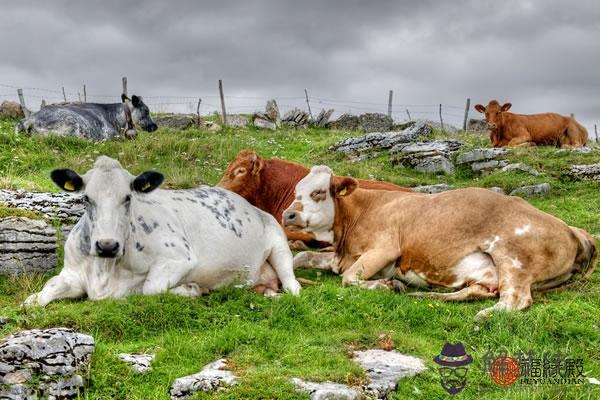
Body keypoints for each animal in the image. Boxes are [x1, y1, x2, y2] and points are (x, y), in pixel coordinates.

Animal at [24, 156, 300, 306]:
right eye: (86, 198)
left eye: (128, 197)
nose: (107, 245)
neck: (105, 272)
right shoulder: (72, 272)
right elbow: (42, 292)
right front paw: (32, 299)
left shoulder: (179, 257)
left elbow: (150, 288)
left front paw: (191, 289)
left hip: (279, 243)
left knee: (291, 284)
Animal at [286, 165, 596, 318]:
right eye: (296, 189)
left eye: (318, 192)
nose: (288, 214)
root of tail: (571, 228)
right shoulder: (340, 256)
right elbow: (300, 257)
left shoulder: (385, 248)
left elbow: (349, 278)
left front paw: (385, 284)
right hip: (489, 272)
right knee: (479, 291)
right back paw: (423, 295)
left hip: (514, 258)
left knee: (515, 300)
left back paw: (484, 316)